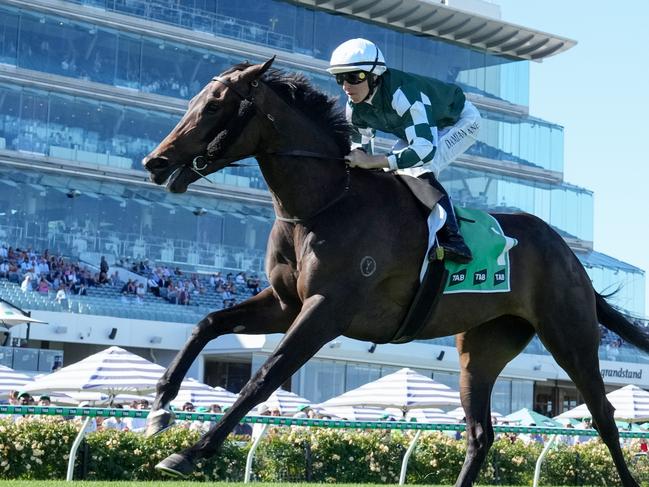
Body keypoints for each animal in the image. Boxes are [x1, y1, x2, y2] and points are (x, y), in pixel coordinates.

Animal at [140, 59, 648, 486]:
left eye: (215, 105)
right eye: (194, 99)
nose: (154, 162)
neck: (325, 203)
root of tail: (567, 254)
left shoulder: (326, 311)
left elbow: (264, 376)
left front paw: (190, 452)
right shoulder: (285, 304)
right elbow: (209, 323)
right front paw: (161, 404)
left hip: (570, 335)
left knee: (604, 416)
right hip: (481, 348)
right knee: (480, 433)